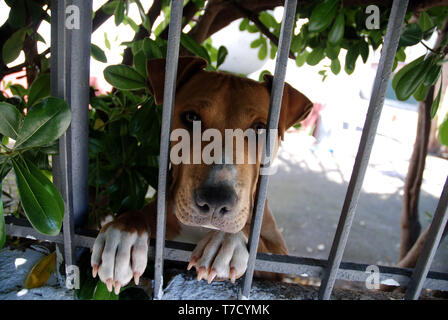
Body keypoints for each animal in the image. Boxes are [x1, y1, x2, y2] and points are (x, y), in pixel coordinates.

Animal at [90, 56, 314, 294]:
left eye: (260, 128)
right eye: (191, 117)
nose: (216, 200)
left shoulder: (281, 260)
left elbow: (258, 245)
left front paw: (227, 241)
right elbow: (140, 215)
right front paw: (124, 235)